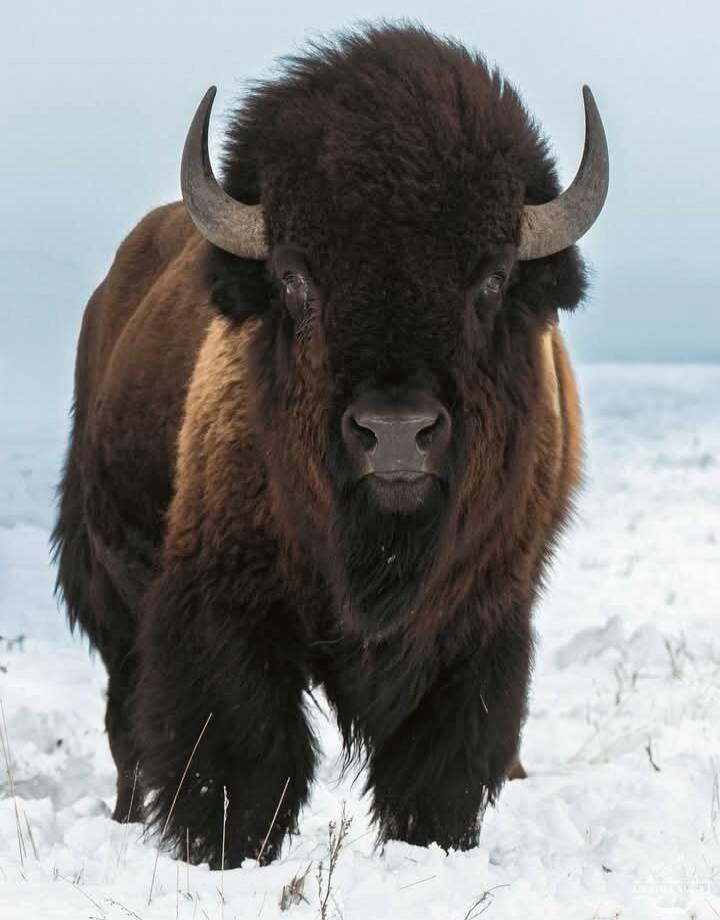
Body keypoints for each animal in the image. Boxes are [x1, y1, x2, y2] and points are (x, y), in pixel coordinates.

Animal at [53, 24, 608, 868]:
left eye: (490, 277)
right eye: (294, 278)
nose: (396, 433)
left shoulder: (481, 623)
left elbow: (440, 771)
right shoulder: (222, 607)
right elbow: (240, 756)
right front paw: (227, 854)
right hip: (110, 583)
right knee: (127, 715)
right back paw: (124, 815)